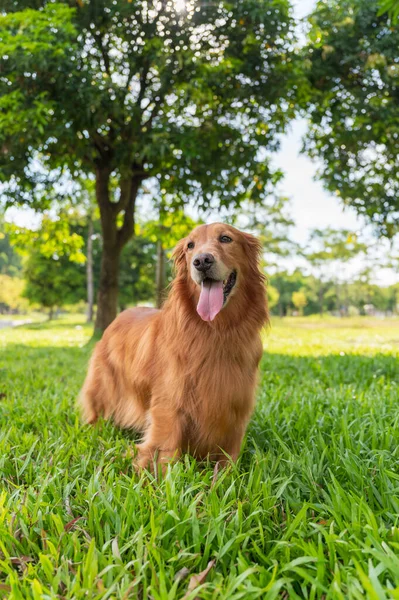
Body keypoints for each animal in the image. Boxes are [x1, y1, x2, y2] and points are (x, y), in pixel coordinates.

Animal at [79, 224, 268, 468]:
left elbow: (229, 462)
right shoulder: (170, 404)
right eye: (190, 245)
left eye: (226, 238)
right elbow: (163, 453)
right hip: (103, 387)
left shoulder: (235, 408)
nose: (202, 261)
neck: (215, 331)